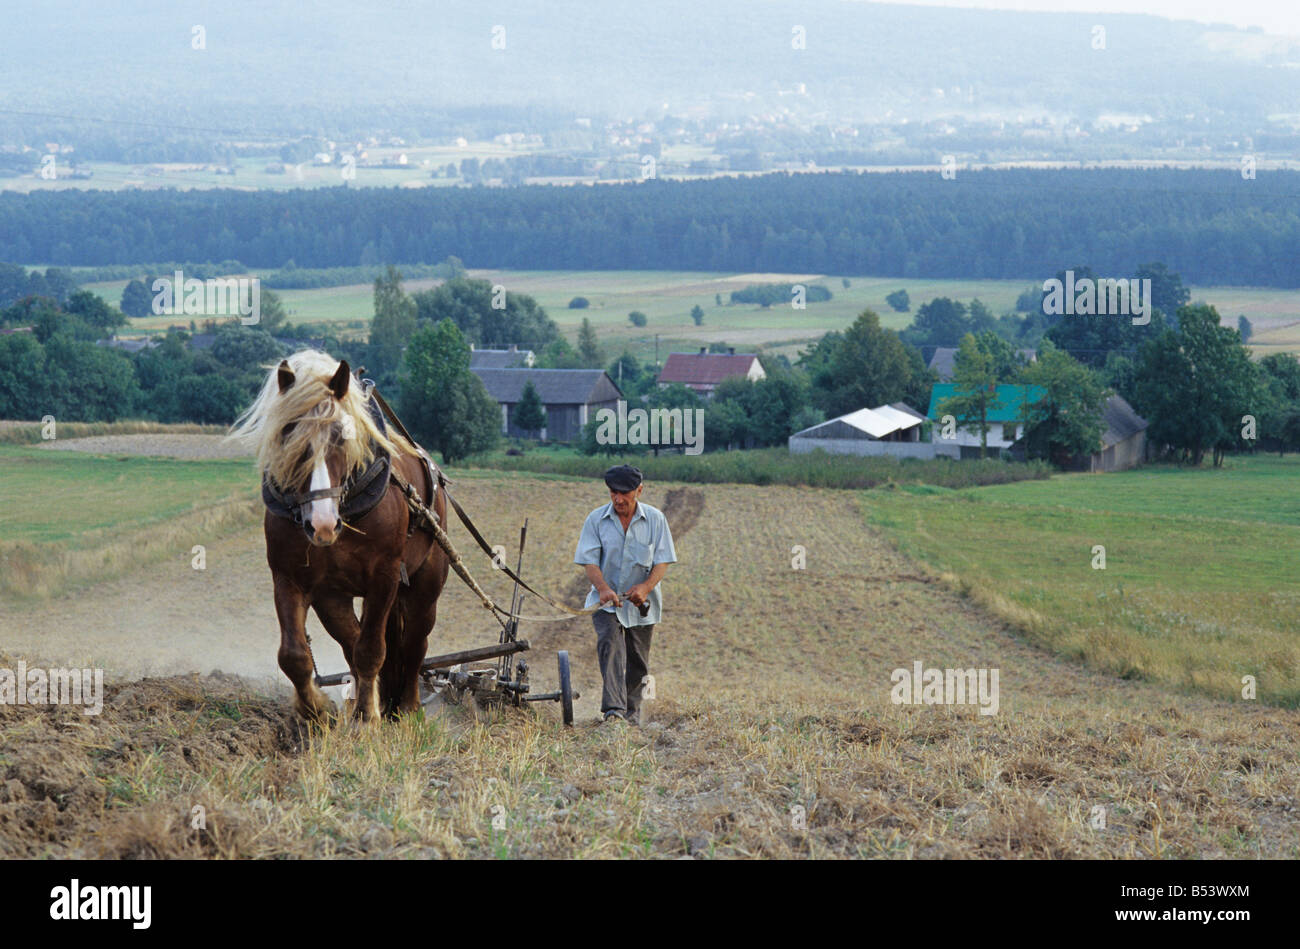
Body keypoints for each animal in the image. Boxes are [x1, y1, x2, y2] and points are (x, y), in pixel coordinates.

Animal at [224, 351, 447, 722]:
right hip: (334, 598)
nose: (322, 525)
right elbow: (294, 654)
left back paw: (407, 707)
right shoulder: (291, 578)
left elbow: (371, 650)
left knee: (415, 644)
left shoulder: (385, 575)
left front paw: (369, 718)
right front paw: (315, 709)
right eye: (289, 433)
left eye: (341, 436)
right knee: (352, 642)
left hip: (425, 585)